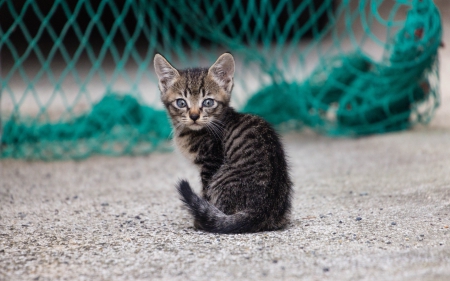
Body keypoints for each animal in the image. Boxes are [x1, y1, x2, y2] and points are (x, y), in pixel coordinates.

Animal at [155, 52, 294, 232]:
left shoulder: (210, 162)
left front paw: (200, 219)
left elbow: (205, 193)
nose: (194, 116)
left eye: (208, 102)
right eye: (181, 103)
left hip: (221, 177)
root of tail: (262, 209)